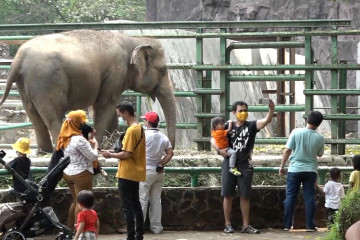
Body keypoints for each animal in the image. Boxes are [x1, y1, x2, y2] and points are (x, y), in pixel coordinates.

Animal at [0, 28, 176, 152]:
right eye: (163, 70)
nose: (171, 149)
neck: (134, 40)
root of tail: (18, 59)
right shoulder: (115, 72)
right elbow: (104, 105)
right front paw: (98, 146)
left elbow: (112, 107)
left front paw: (112, 144)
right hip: (46, 82)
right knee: (54, 117)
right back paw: (61, 149)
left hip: (25, 86)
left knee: (35, 118)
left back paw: (44, 152)